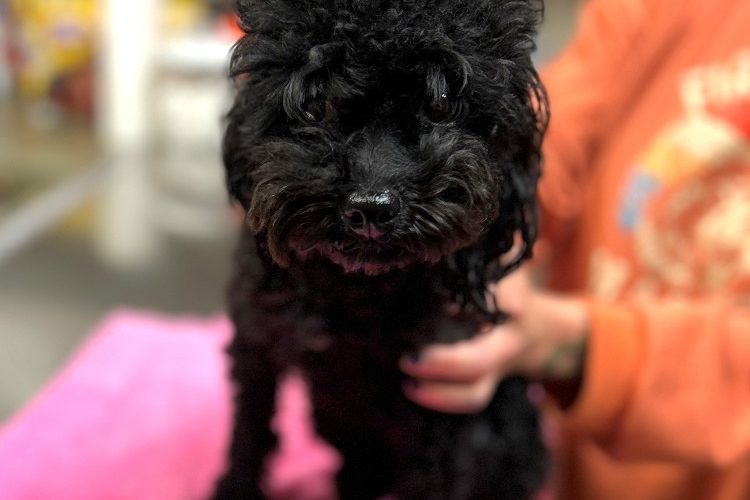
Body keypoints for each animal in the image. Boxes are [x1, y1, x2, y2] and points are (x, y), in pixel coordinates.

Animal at [214, 1, 549, 498]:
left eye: (440, 104)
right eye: (315, 106)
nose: (371, 208)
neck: (359, 292)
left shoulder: (438, 394)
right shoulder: (257, 342)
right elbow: (248, 437)